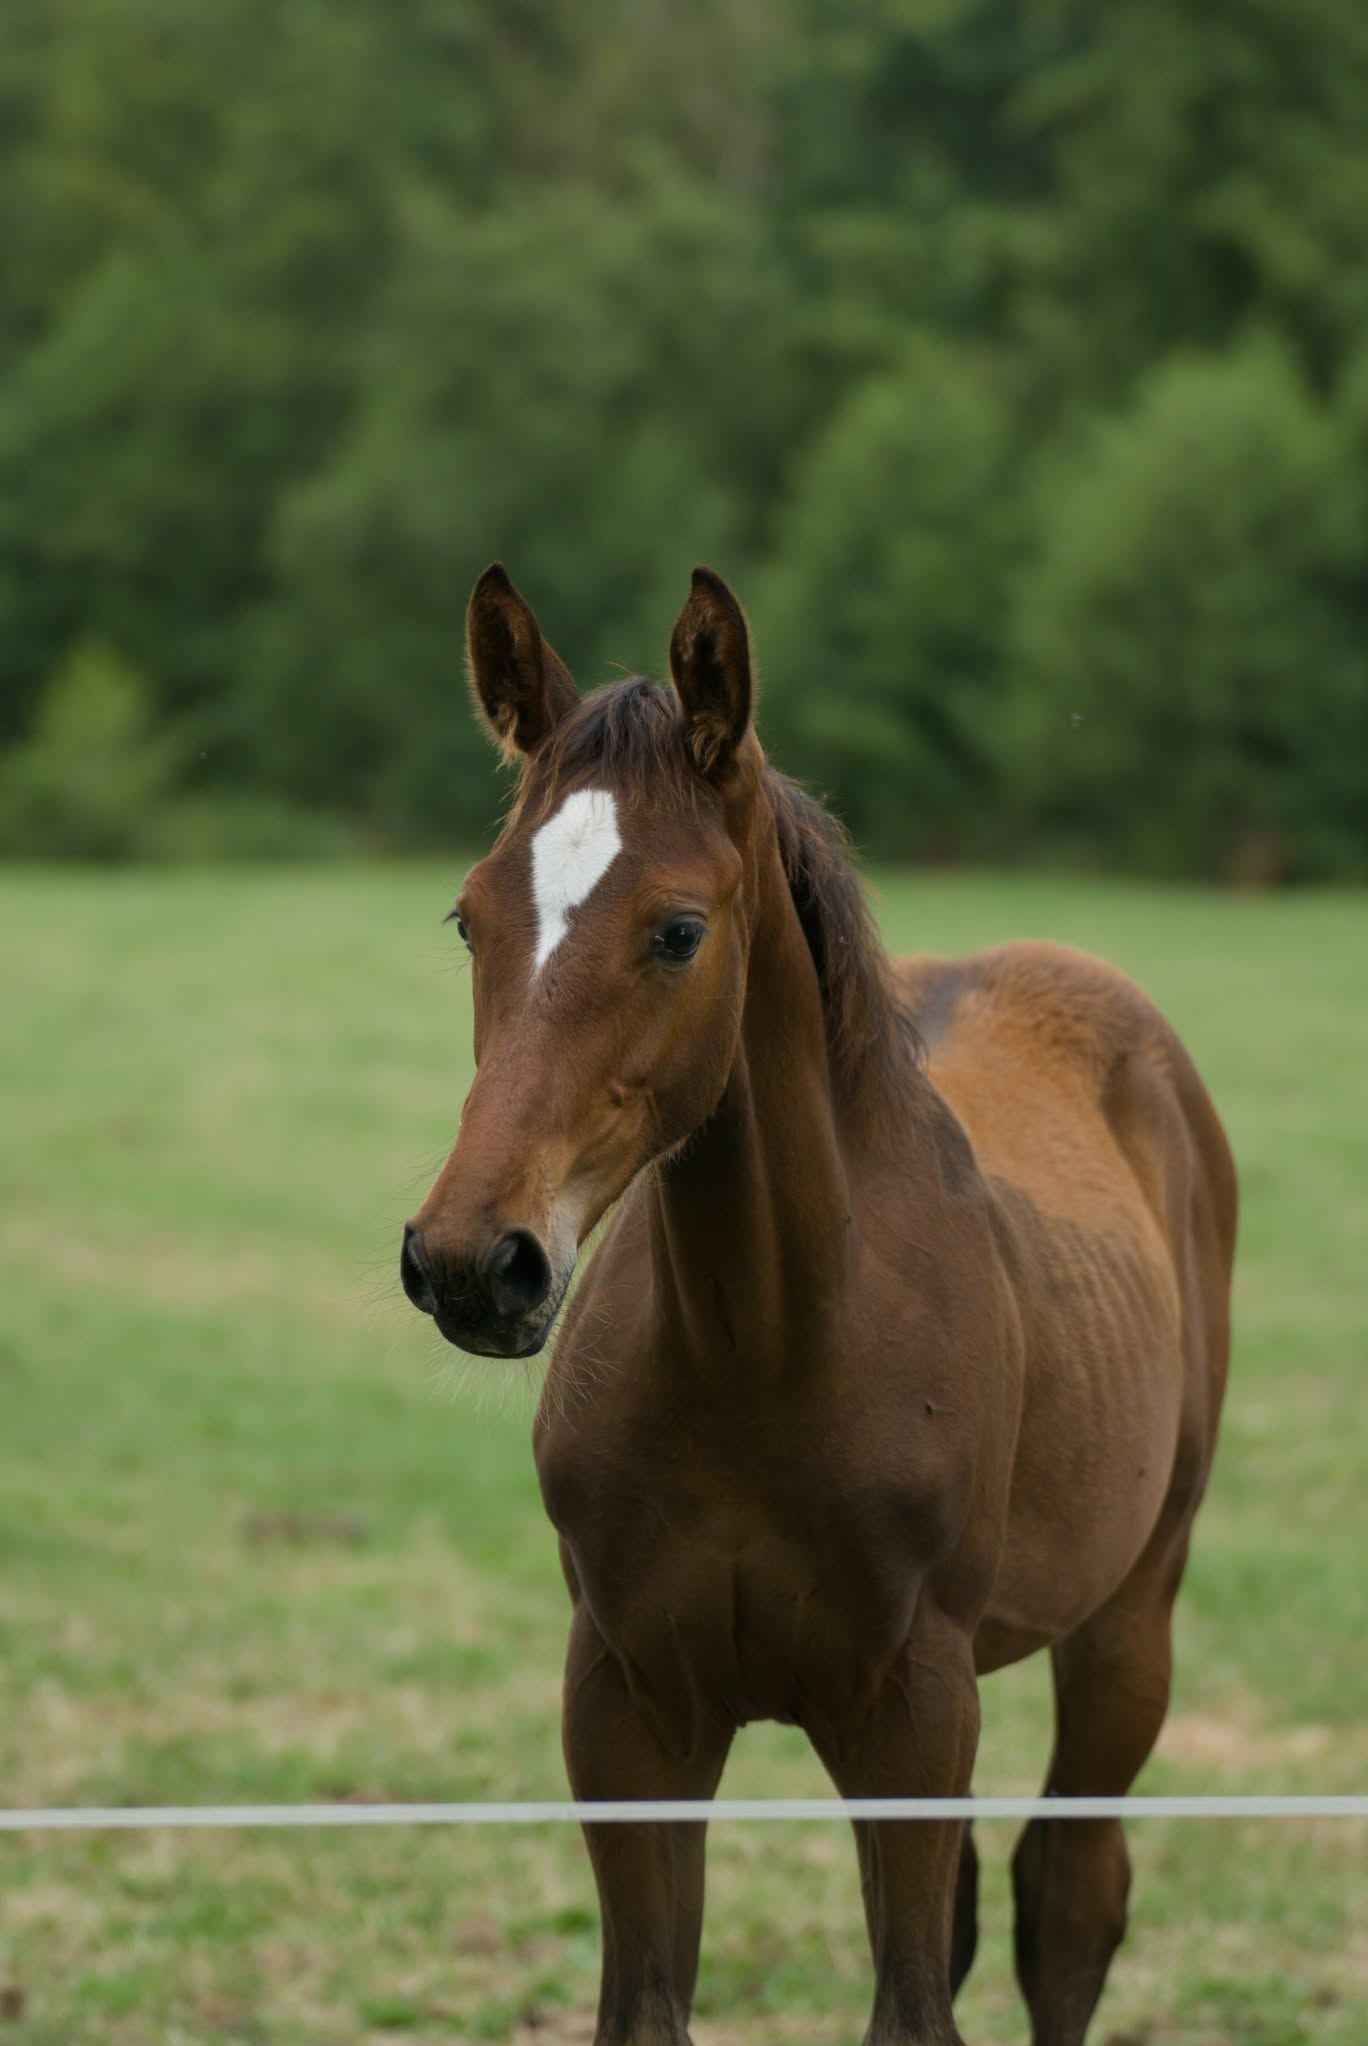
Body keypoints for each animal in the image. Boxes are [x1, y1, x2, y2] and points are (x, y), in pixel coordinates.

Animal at [400, 563, 1236, 2046]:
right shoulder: (627, 1706)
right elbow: (651, 2001)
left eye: (679, 931)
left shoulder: (911, 1709)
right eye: (470, 918)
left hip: (1129, 1615)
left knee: (1071, 1899)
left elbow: (918, 1997)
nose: (470, 1260)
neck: (770, 1350)